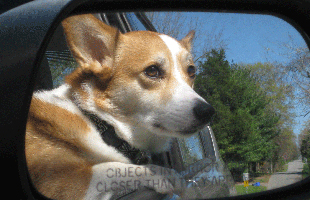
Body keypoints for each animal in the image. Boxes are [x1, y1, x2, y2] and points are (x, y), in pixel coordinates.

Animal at [25, 14, 214, 200]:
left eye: (192, 71)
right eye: (152, 71)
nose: (208, 112)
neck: (101, 124)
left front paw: (171, 176)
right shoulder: (62, 183)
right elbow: (109, 168)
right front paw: (155, 176)